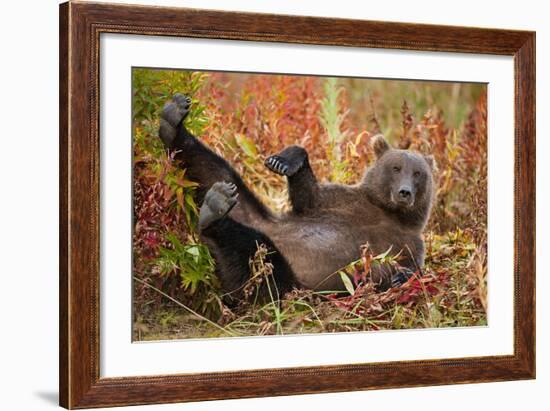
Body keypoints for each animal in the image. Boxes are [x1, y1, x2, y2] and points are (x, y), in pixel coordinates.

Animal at [157, 93, 438, 300]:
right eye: (396, 167)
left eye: (418, 173)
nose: (404, 192)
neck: (385, 211)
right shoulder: (343, 200)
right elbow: (309, 197)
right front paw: (285, 161)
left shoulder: (407, 243)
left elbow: (408, 269)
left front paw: (399, 276)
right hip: (253, 213)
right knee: (213, 171)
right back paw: (174, 121)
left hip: (285, 280)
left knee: (250, 252)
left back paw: (214, 212)